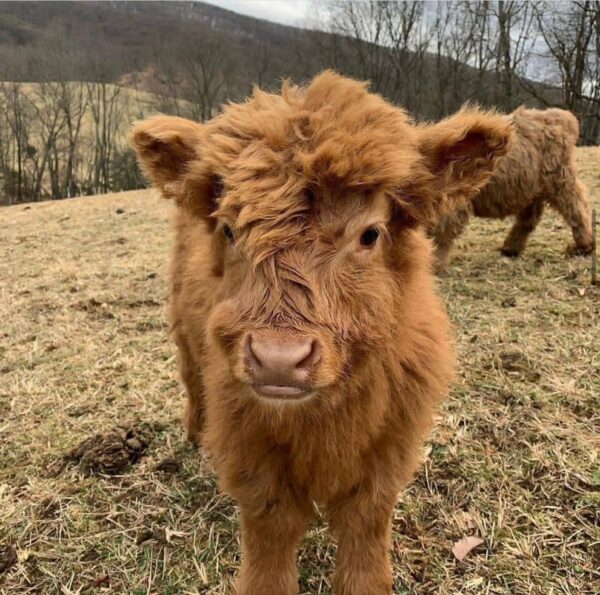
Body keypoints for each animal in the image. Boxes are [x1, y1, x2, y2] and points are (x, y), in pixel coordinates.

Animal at [131, 72, 510, 592]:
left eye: (369, 234)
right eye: (229, 230)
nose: (278, 359)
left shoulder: (389, 444)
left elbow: (365, 523)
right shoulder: (250, 444)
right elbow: (271, 528)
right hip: (186, 334)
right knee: (191, 379)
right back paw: (194, 434)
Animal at [428, 105, 592, 270]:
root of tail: (560, 116)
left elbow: (440, 234)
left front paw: (433, 264)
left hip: (558, 180)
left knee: (576, 207)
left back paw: (584, 246)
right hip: (531, 186)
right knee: (529, 218)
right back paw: (510, 249)